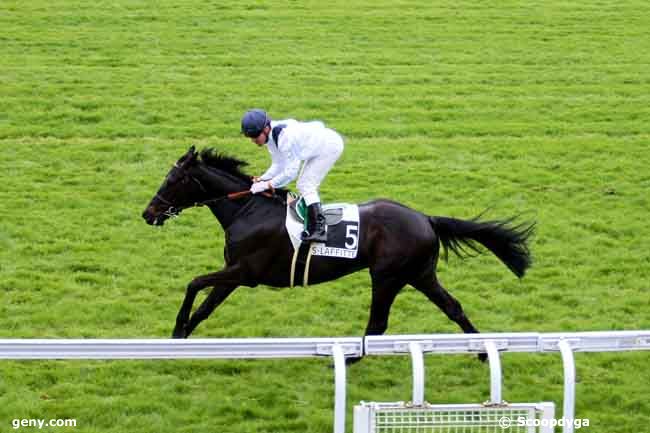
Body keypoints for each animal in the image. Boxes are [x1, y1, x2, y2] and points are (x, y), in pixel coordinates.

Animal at [140, 146, 532, 362]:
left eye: (172, 180)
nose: (148, 213)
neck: (247, 209)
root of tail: (425, 218)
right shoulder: (234, 272)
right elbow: (205, 307)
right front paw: (180, 338)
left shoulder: (245, 272)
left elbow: (194, 283)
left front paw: (176, 329)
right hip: (421, 275)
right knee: (453, 307)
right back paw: (481, 351)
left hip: (388, 276)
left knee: (378, 324)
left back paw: (349, 360)